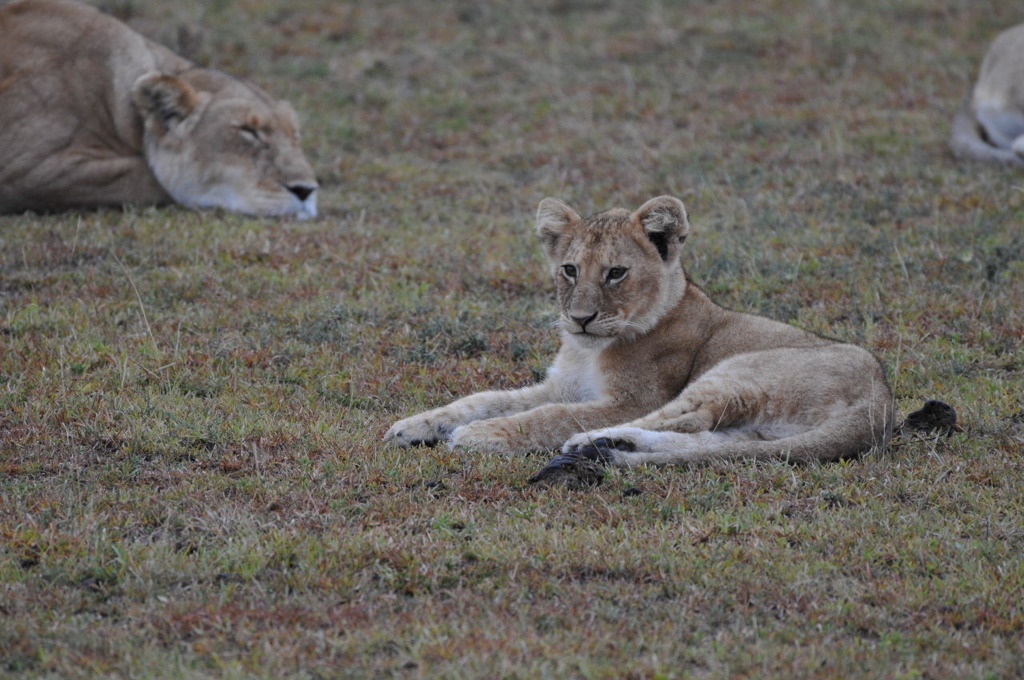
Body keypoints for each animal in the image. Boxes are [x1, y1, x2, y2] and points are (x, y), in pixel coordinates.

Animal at [385, 193, 897, 475]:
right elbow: (484, 399)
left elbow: (549, 416)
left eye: (616, 273)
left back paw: (592, 444)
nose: (580, 319)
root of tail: (880, 404)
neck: (589, 350)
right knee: (708, 441)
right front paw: (412, 427)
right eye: (569, 269)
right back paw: (612, 448)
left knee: (681, 420)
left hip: (736, 372)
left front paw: (481, 434)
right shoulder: (564, 384)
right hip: (756, 427)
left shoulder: (631, 397)